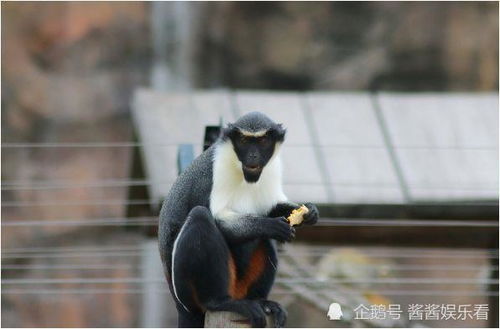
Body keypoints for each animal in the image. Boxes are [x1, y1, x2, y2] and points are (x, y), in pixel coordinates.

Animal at [158, 112, 318, 326]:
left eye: (263, 140)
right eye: (244, 140)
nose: (253, 156)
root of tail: (180, 307)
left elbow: (271, 207)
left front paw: (309, 212)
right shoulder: (217, 168)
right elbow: (220, 220)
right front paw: (270, 225)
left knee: (264, 241)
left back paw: (261, 302)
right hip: (187, 291)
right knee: (200, 216)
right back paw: (219, 302)